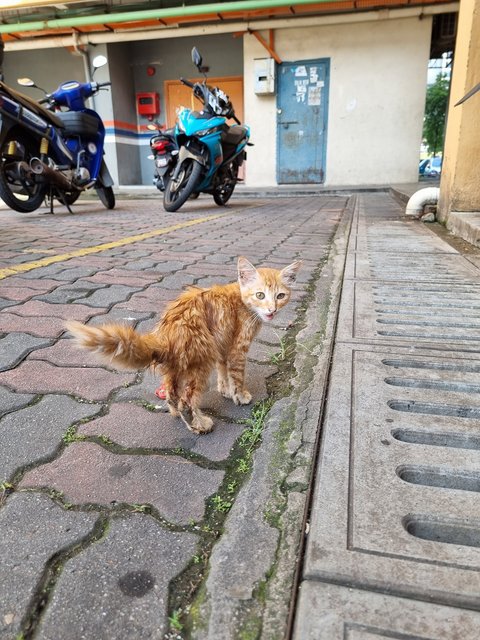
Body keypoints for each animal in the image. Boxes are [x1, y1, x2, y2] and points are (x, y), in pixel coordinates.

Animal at [66, 256, 300, 436]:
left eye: (280, 296)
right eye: (260, 295)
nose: (272, 310)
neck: (241, 300)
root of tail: (165, 334)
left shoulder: (223, 345)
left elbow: (223, 371)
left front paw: (224, 389)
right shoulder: (237, 348)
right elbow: (237, 375)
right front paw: (239, 395)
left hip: (180, 366)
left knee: (172, 394)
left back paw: (177, 414)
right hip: (201, 362)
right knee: (186, 402)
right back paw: (199, 425)